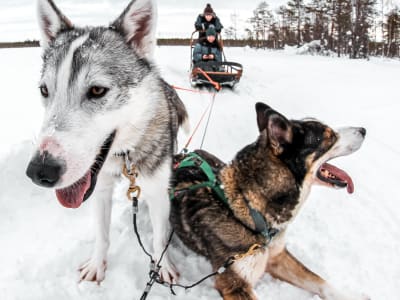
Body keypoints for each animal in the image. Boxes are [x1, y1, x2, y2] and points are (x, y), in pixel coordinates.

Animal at [170, 103, 368, 300]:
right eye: (330, 136)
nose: (363, 130)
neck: (250, 211)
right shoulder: (234, 284)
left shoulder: (278, 256)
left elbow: (321, 282)